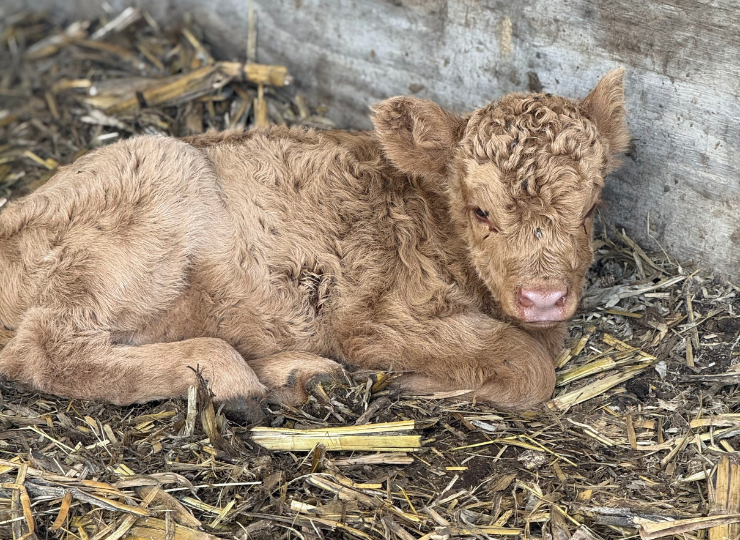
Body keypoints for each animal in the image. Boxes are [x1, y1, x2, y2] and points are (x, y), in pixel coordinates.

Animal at [0, 69, 628, 420]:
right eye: (481, 212)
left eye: (591, 207)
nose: (543, 298)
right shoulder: (376, 320)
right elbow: (529, 367)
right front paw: (418, 383)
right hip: (150, 196)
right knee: (47, 349)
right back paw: (231, 376)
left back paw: (296, 377)